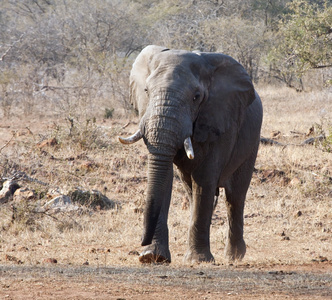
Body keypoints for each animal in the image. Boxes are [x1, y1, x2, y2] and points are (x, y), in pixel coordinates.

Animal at [118, 44, 262, 262]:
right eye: (146, 91)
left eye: (196, 97)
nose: (142, 242)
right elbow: (166, 177)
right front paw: (153, 257)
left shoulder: (219, 120)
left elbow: (204, 177)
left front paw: (198, 260)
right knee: (192, 191)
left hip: (251, 144)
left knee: (235, 197)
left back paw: (234, 257)